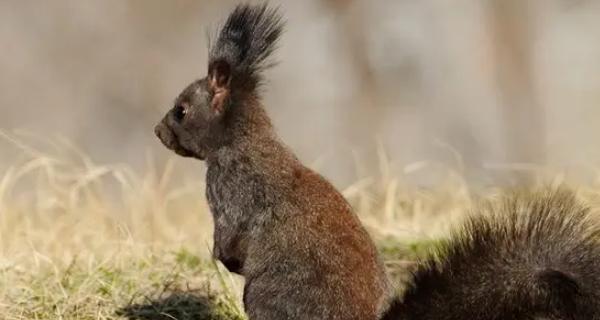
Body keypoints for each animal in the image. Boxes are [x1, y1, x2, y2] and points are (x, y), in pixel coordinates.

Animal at [154, 3, 600, 320]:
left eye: (181, 110)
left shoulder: (230, 188)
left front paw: (226, 259)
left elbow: (228, 240)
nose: (158, 132)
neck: (245, 138)